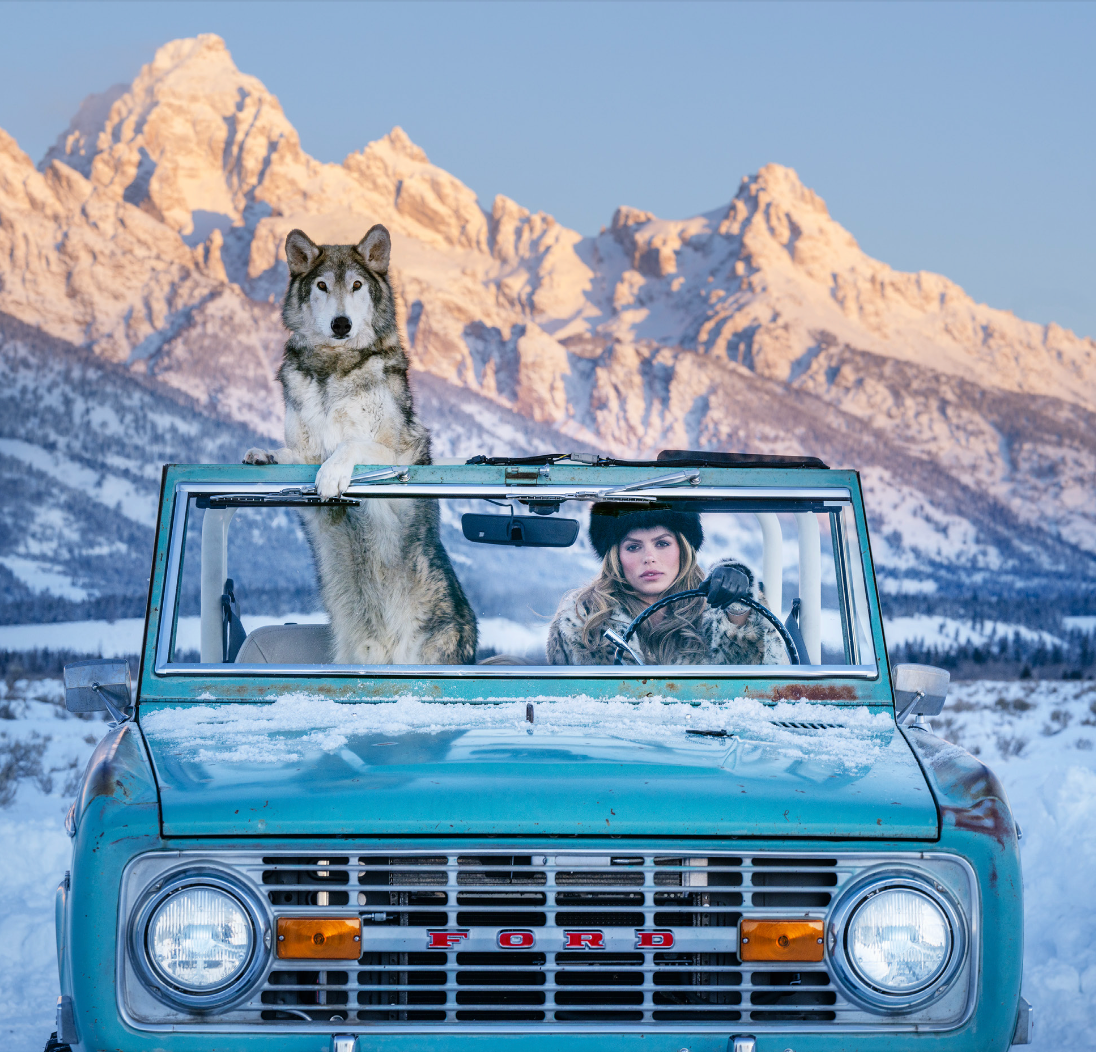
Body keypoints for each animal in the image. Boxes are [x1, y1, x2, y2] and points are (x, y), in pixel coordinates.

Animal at [244, 225, 475, 661]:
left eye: (356, 286)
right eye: (321, 285)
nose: (341, 324)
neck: (334, 368)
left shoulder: (399, 449)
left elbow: (349, 447)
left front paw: (331, 477)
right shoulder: (305, 450)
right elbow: (290, 453)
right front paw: (262, 453)